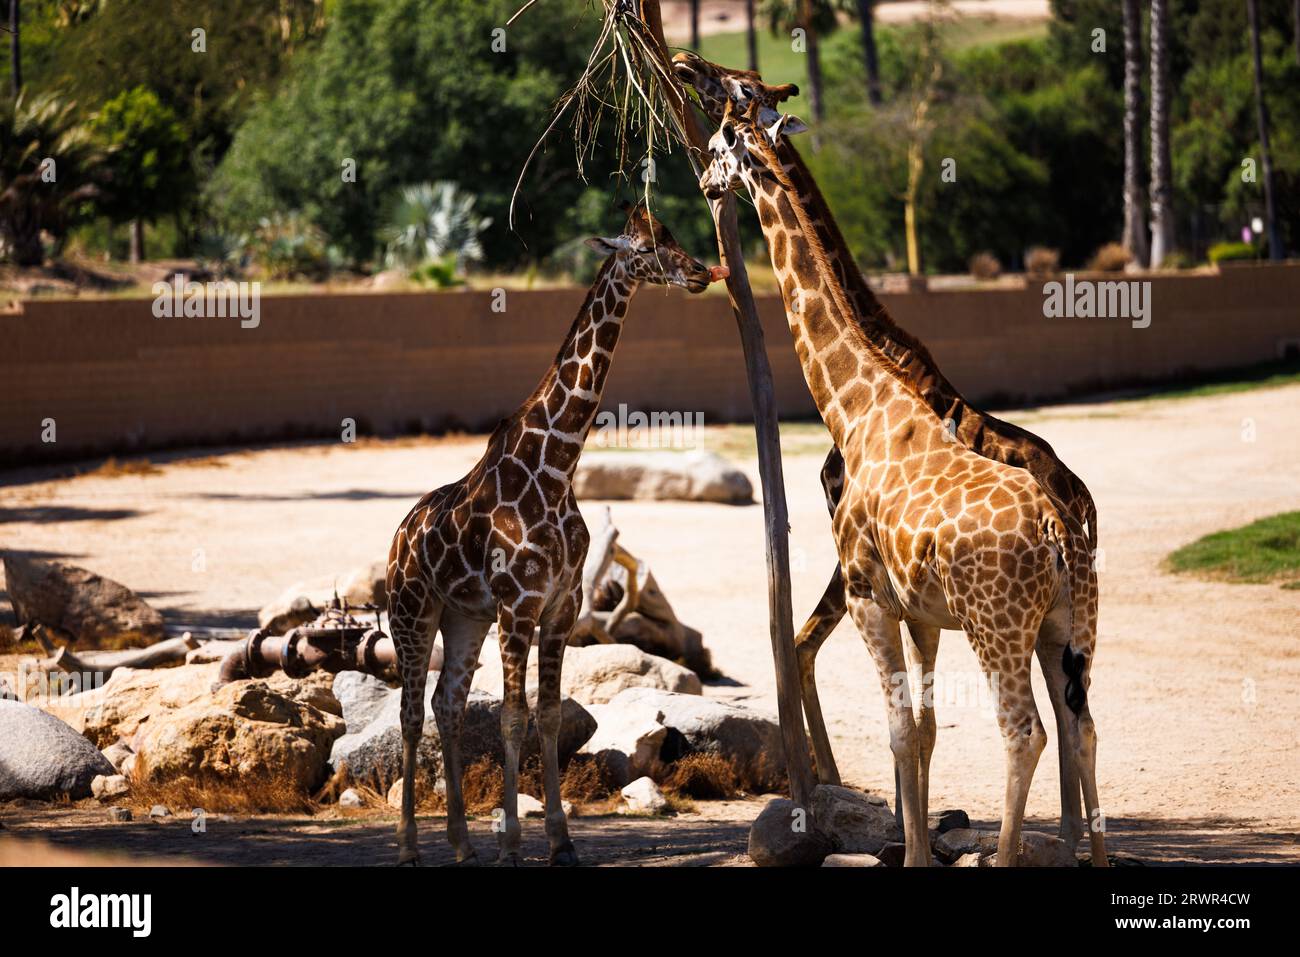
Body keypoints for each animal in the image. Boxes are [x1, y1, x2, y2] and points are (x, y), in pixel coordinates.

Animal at [384, 204, 733, 868]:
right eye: (644, 247)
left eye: (673, 234)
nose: (703, 272)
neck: (559, 464)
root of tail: (399, 536)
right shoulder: (519, 605)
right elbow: (512, 718)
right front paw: (512, 846)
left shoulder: (560, 605)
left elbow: (546, 716)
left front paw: (560, 843)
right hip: (412, 611)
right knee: (411, 711)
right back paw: (411, 849)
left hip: (464, 617)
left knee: (447, 704)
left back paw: (461, 845)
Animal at [676, 52, 1102, 847]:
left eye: (724, 117)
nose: (685, 62)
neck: (861, 399)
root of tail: (1069, 516)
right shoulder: (920, 610)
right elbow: (927, 727)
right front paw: (916, 834)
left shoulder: (868, 587)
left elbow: (902, 727)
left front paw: (911, 843)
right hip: (1069, 616)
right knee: (1078, 720)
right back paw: (1082, 848)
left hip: (996, 624)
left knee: (1024, 728)